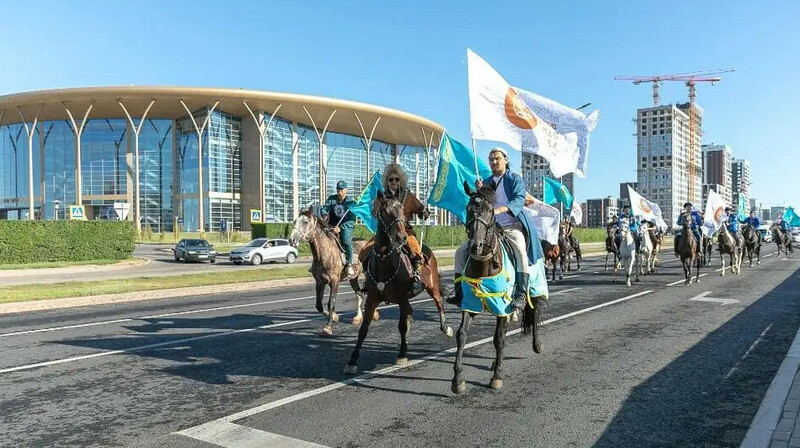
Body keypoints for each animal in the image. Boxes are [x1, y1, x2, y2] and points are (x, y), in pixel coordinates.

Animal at [344, 189, 454, 374]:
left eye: (402, 211)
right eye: (385, 211)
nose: (401, 237)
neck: (385, 261)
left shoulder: (402, 298)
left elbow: (402, 326)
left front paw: (402, 355)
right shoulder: (372, 299)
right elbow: (363, 329)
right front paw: (352, 360)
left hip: (432, 287)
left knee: (439, 304)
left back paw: (446, 328)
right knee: (410, 315)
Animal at [450, 180, 544, 394]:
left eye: (490, 210)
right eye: (468, 209)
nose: (475, 245)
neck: (484, 265)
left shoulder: (502, 305)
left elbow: (499, 338)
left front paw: (496, 377)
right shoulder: (470, 303)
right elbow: (461, 335)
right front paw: (458, 380)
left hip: (534, 290)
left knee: (534, 315)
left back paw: (536, 345)